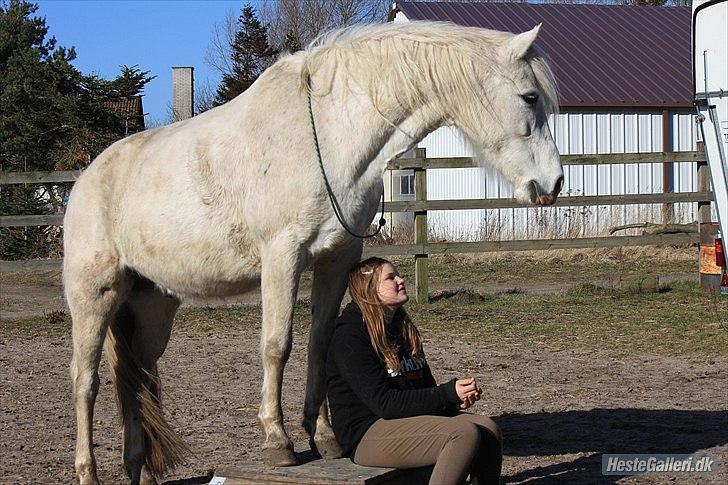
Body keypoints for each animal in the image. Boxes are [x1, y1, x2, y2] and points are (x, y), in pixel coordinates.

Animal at [64, 21, 564, 484]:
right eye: (529, 98)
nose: (554, 183)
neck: (324, 134)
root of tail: (86, 180)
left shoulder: (336, 259)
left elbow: (320, 344)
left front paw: (322, 436)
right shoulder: (282, 258)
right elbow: (276, 346)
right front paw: (278, 441)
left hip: (151, 308)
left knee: (139, 381)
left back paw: (141, 471)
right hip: (95, 297)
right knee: (86, 381)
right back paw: (88, 472)